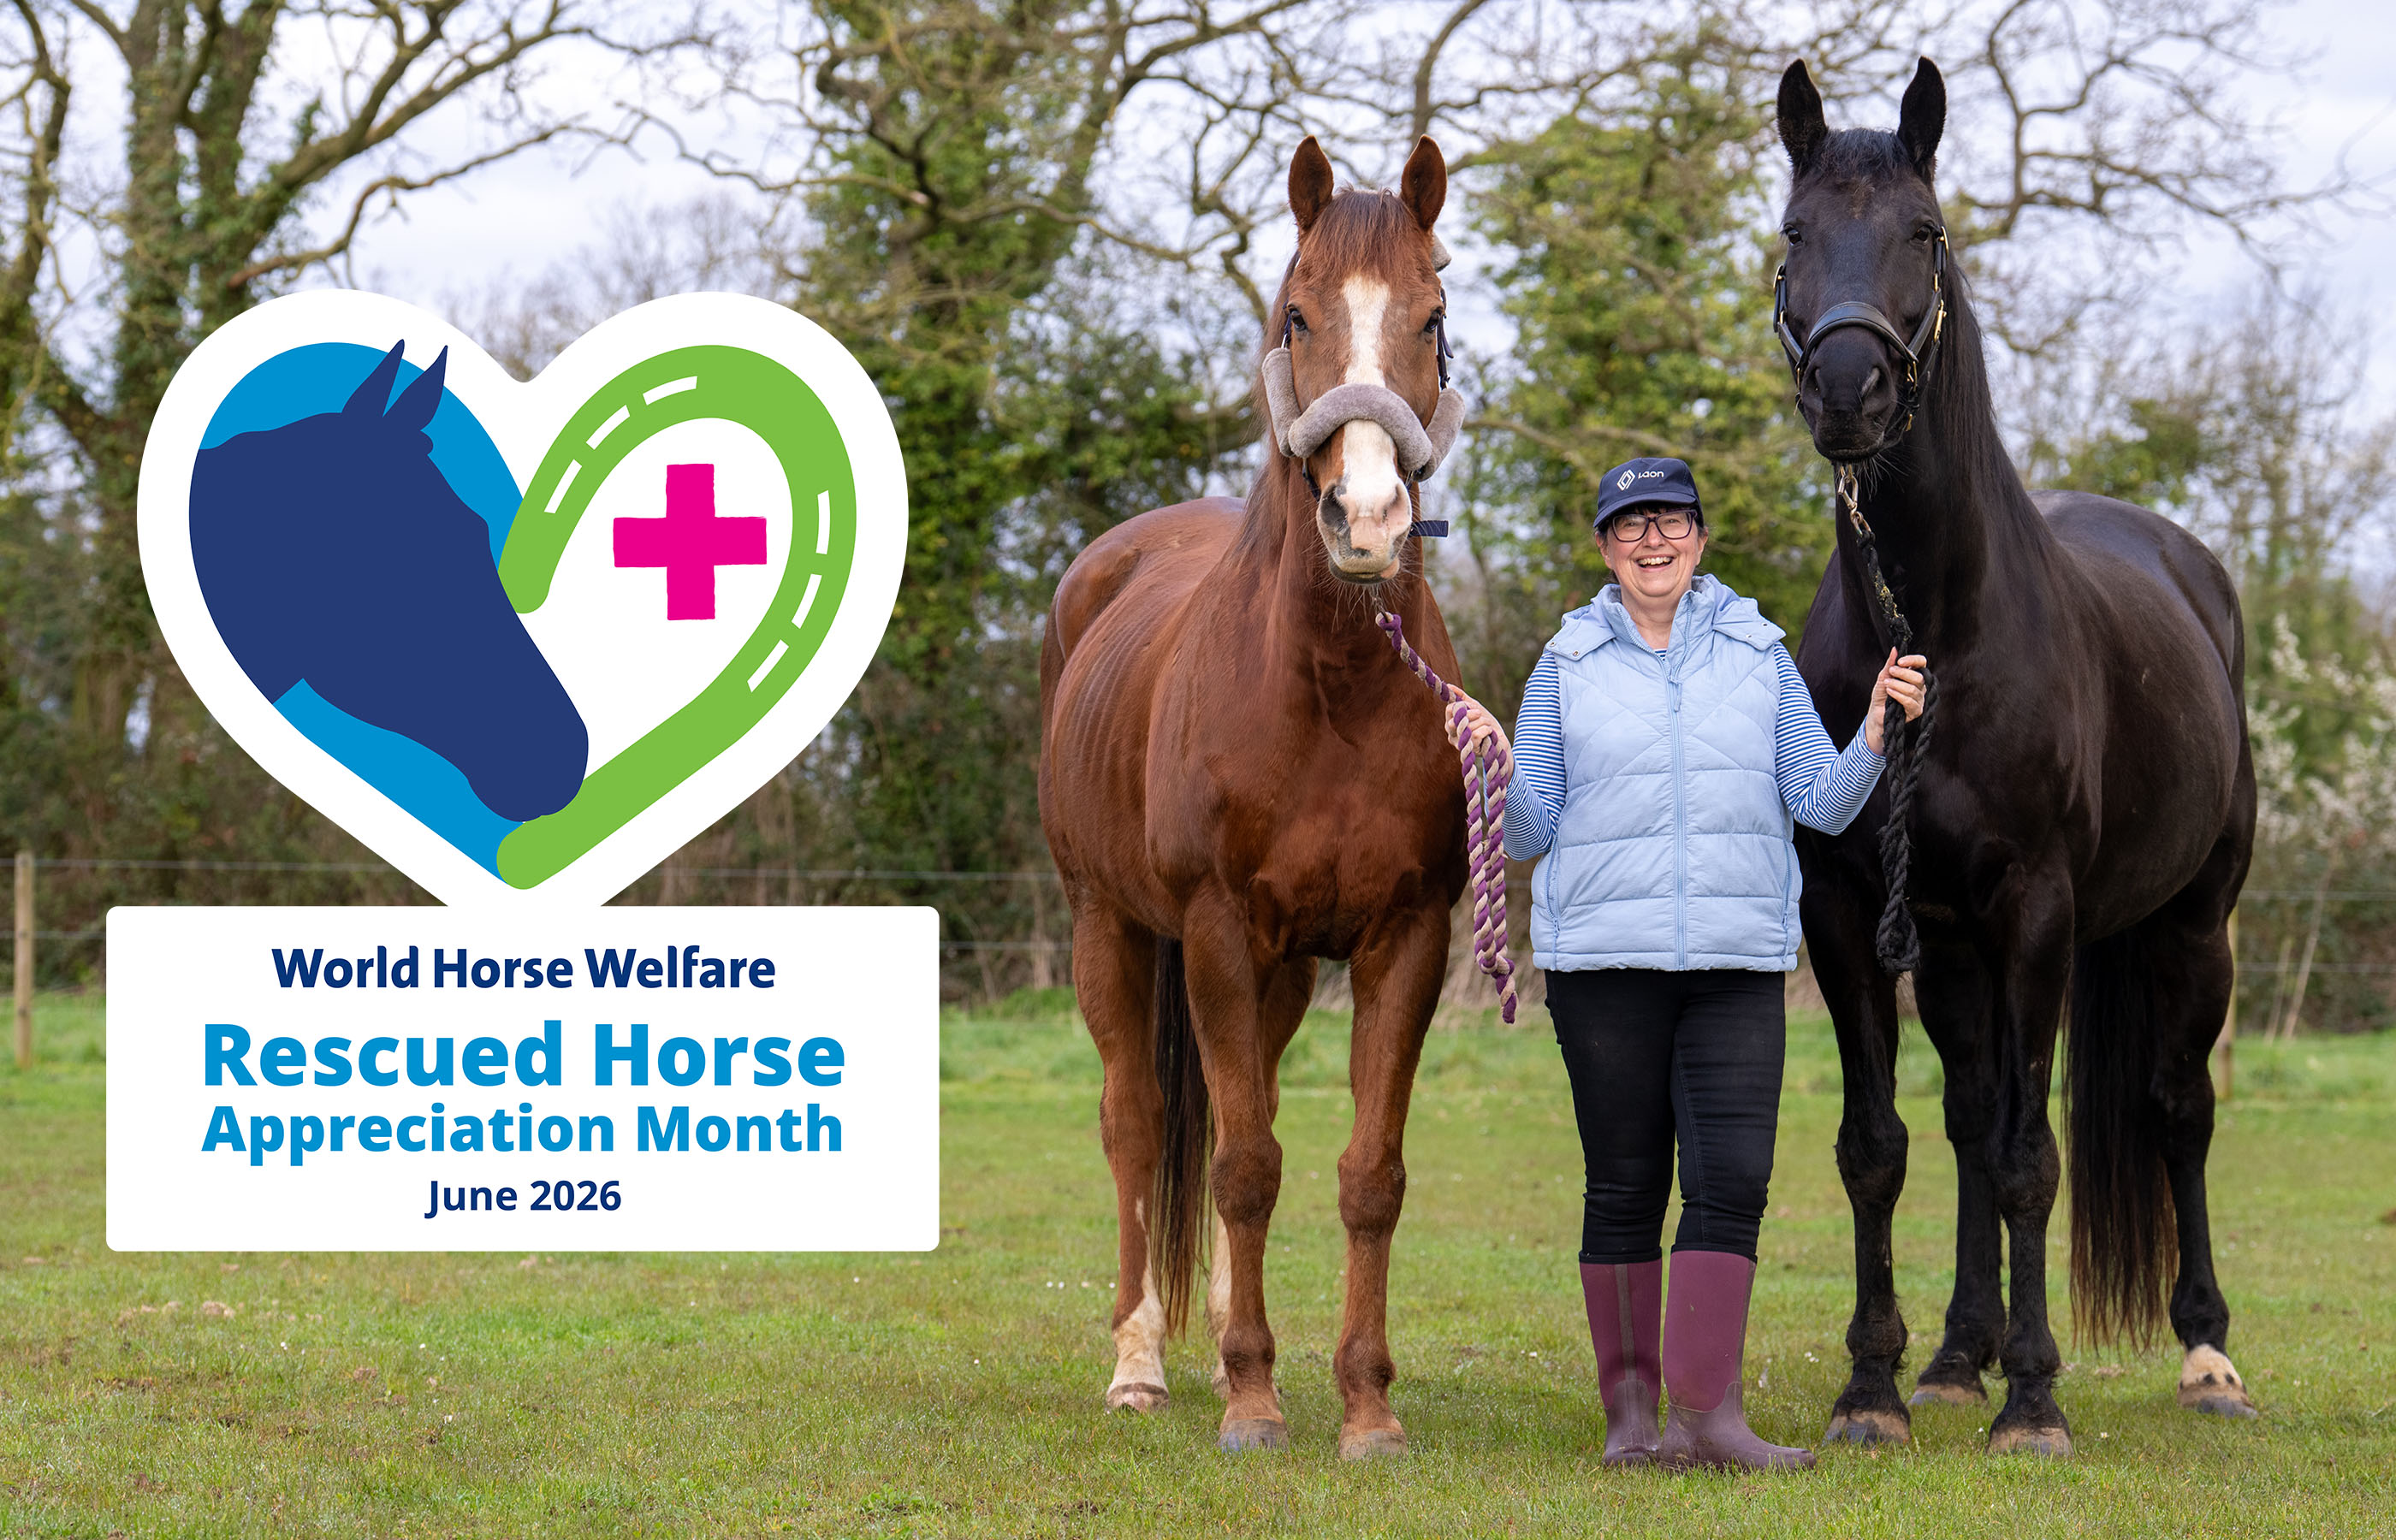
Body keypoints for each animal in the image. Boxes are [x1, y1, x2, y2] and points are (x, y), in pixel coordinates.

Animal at [1038, 135, 1468, 1458]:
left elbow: (1362, 1173)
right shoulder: (1217, 932)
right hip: (1111, 931)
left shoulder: (1402, 939)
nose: (1367, 518)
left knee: (1248, 1112)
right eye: (1296, 314)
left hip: (1275, 975)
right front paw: (1251, 1399)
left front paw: (1364, 1406)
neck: (1329, 690)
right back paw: (1139, 1365)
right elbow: (1237, 1170)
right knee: (1136, 1125)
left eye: (1433, 319)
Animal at [1774, 58, 2257, 1456]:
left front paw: (2035, 1402)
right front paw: (1877, 1388)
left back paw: (2206, 1355)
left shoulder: (2038, 909)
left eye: (1924, 235)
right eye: (1794, 235)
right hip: (1953, 953)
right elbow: (1882, 1146)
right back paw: (1954, 1355)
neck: (1935, 631)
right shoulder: (1850, 913)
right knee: (1968, 1117)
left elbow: (2033, 1157)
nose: (1848, 393)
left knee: (2175, 1110)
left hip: (2189, 927)